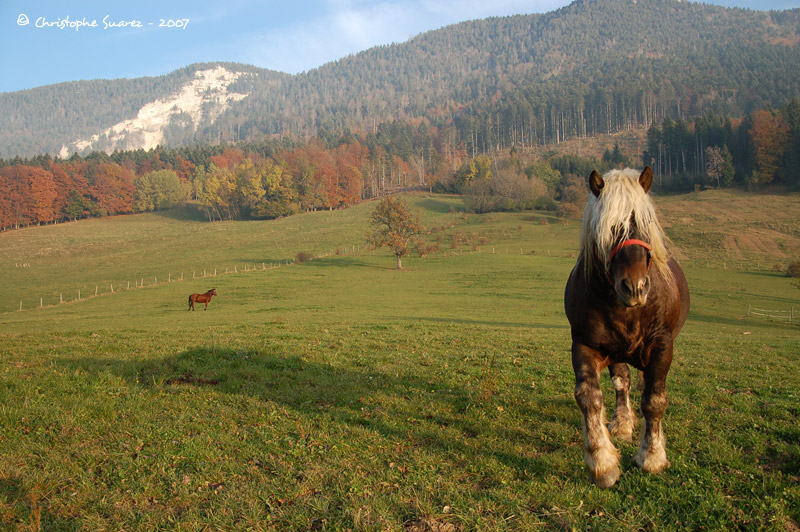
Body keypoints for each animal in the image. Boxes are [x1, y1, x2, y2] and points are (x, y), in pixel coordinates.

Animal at [564, 168, 692, 488]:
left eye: (645, 223)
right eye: (608, 229)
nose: (635, 287)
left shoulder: (662, 346)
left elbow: (654, 400)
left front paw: (652, 456)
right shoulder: (585, 344)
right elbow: (590, 397)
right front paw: (602, 462)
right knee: (622, 383)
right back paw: (622, 423)